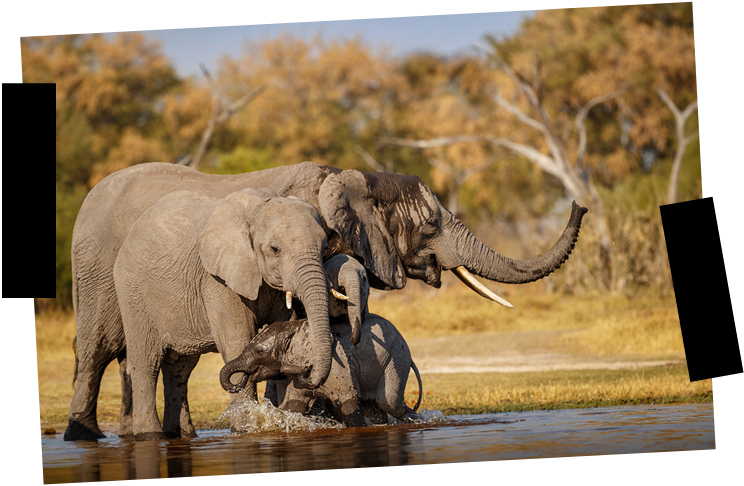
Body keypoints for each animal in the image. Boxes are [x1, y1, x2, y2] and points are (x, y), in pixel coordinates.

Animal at [112, 187, 334, 440]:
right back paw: (150, 436)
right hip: (133, 294)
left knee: (179, 368)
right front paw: (246, 430)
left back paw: (183, 435)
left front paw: (285, 423)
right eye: (275, 249)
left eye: (325, 248)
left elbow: (284, 332)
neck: (258, 208)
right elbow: (237, 341)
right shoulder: (218, 281)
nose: (307, 372)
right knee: (146, 363)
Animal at [220, 315, 423, 427]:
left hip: (397, 358)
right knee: (375, 408)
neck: (294, 328)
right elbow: (293, 407)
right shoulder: (295, 377)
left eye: (259, 352)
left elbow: (348, 405)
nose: (244, 377)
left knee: (389, 402)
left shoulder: (338, 367)